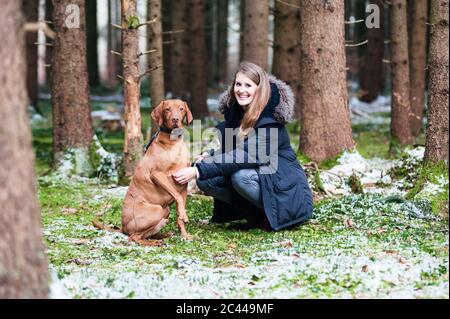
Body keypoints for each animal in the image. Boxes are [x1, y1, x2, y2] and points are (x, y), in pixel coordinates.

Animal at [94, 99, 192, 246]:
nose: (175, 119)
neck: (174, 142)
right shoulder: (157, 174)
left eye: (181, 109)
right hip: (157, 210)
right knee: (134, 237)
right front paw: (184, 218)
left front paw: (185, 235)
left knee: (145, 234)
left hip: (165, 211)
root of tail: (123, 227)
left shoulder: (183, 182)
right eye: (167, 109)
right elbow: (178, 198)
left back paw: (163, 236)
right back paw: (154, 243)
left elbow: (180, 213)